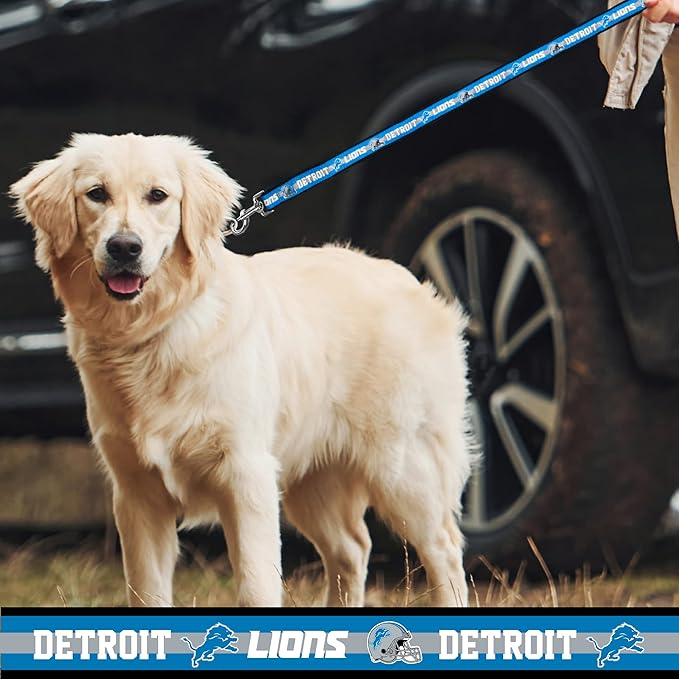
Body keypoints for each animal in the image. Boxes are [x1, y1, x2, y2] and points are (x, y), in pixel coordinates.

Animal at [11, 131, 478, 604]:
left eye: (157, 195)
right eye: (96, 194)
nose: (125, 247)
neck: (155, 331)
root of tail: (412, 282)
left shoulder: (246, 477)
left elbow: (256, 587)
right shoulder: (137, 493)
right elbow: (148, 592)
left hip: (402, 468)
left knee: (443, 550)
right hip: (314, 480)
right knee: (352, 548)